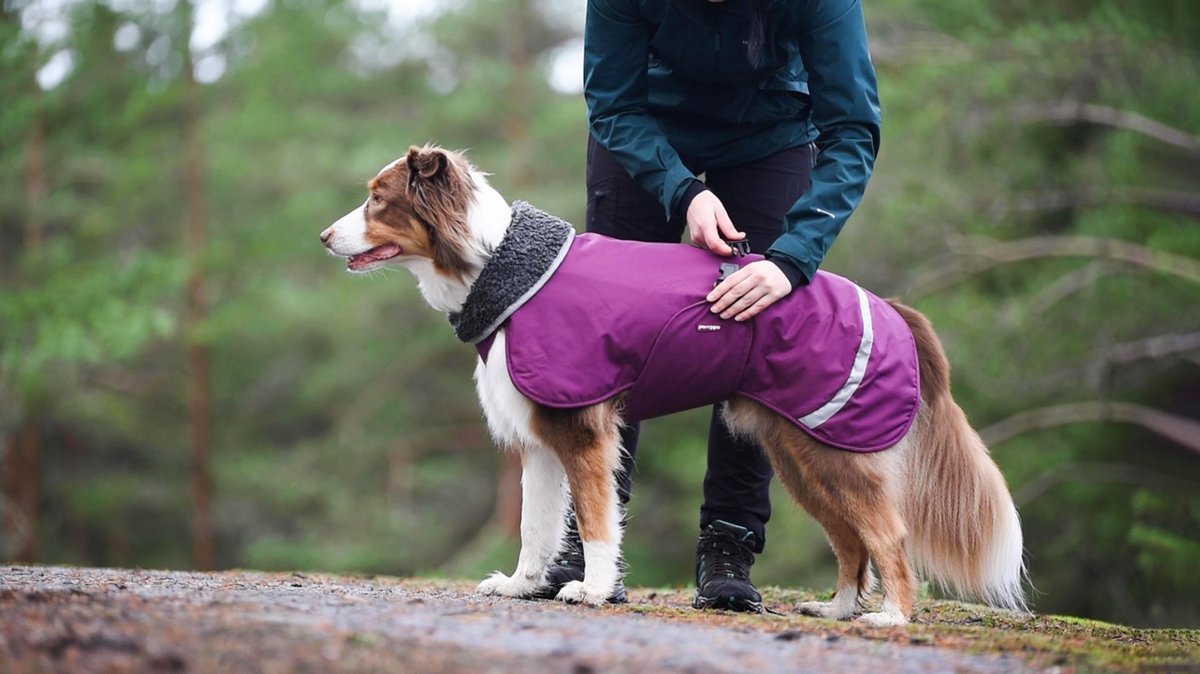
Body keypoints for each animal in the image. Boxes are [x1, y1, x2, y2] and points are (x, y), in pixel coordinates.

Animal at [321, 144, 1032, 623]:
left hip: (835, 451)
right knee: (851, 539)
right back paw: (836, 610)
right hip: (800, 454)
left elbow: (597, 521)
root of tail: (895, 310)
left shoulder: (583, 430)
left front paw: (591, 589)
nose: (324, 236)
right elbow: (536, 525)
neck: (499, 266)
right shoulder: (540, 435)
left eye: (378, 199)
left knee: (889, 535)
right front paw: (524, 586)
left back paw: (892, 616)